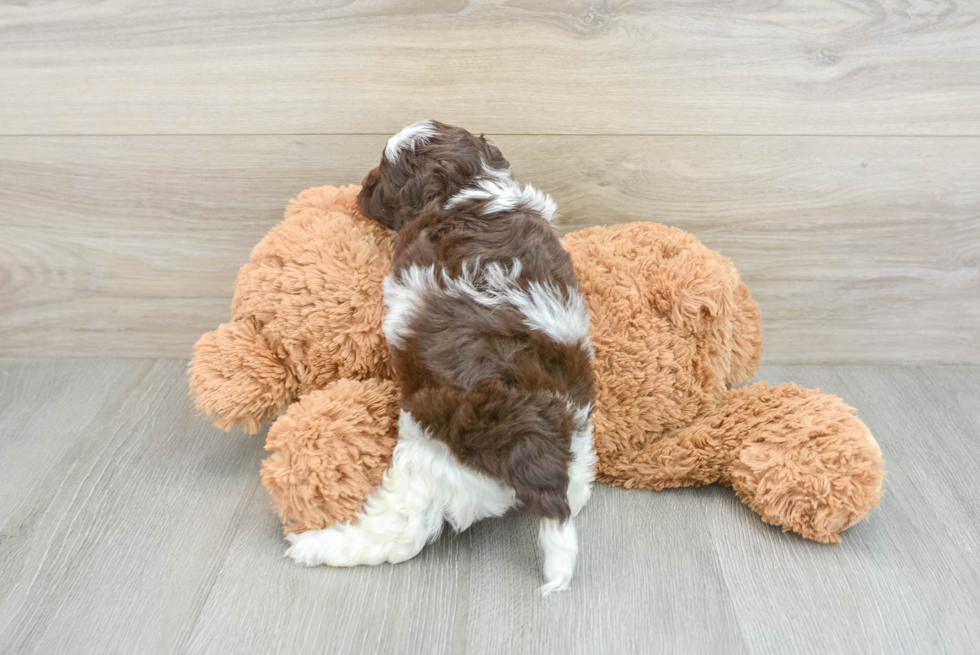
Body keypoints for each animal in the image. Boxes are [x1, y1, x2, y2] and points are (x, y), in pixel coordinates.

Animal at [284, 119, 596, 596]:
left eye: (381, 174)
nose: (360, 191)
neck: (467, 188)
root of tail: (534, 452)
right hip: (578, 435)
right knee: (578, 487)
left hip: (425, 464)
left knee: (398, 533)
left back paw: (316, 545)